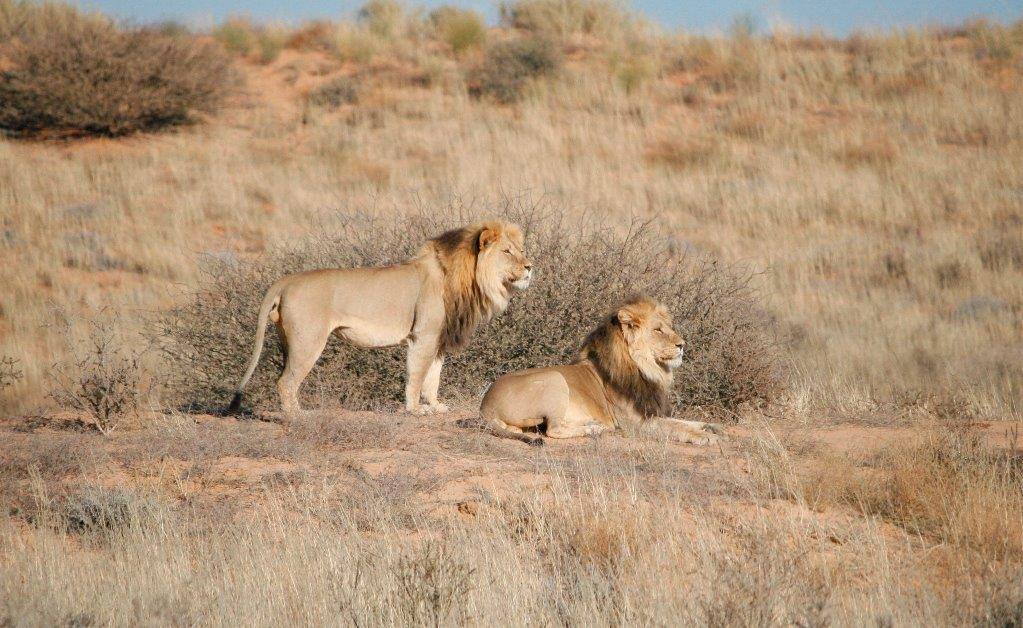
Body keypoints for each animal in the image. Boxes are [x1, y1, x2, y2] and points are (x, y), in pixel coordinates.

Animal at [230, 220, 532, 417]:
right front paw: (415, 410)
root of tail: (286, 280)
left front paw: (435, 406)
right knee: (286, 382)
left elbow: (433, 377)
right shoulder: (423, 335)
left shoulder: (438, 339)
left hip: (288, 341)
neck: (468, 278)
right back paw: (298, 417)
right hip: (308, 341)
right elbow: (417, 375)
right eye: (507, 251)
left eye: (521, 250)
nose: (530, 266)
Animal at [479, 296, 722, 445]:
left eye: (669, 328)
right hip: (554, 378)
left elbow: (683, 421)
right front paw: (705, 436)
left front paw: (714, 427)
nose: (682, 345)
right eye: (658, 330)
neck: (648, 370)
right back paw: (596, 429)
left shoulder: (651, 412)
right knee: (553, 430)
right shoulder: (635, 424)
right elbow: (676, 427)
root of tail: (485, 405)